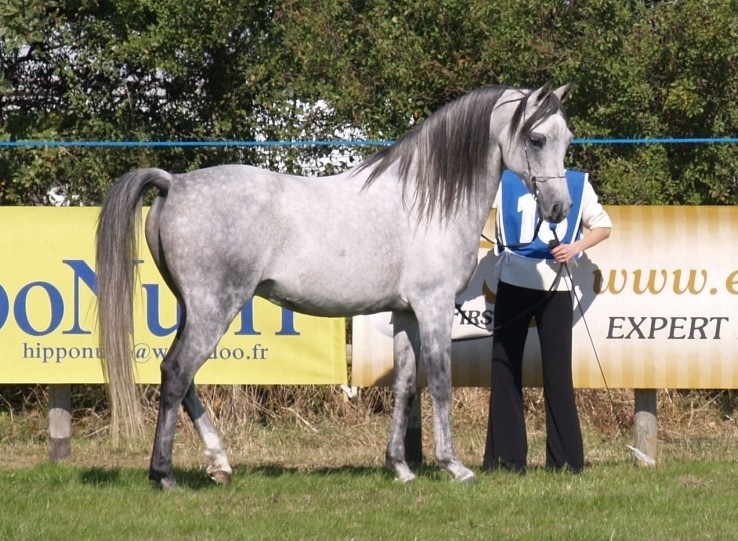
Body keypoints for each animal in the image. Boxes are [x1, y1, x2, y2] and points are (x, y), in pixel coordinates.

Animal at [95, 82, 572, 488]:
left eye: (566, 138)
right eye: (536, 139)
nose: (559, 208)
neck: (428, 200)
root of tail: (175, 183)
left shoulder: (406, 313)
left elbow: (404, 386)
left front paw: (400, 467)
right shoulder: (433, 307)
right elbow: (439, 381)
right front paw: (453, 466)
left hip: (193, 308)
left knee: (181, 374)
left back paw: (220, 464)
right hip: (215, 307)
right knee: (178, 373)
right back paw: (165, 475)